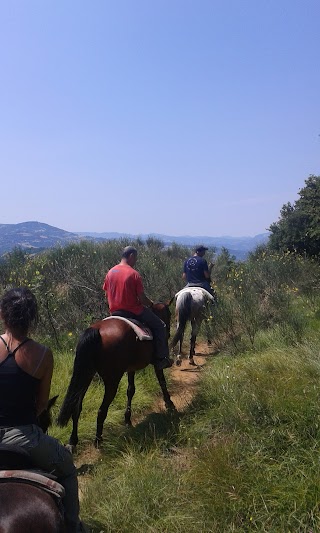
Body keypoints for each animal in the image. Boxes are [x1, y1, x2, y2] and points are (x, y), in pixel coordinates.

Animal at [57, 302, 175, 446]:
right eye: (169, 313)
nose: (168, 331)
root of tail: (96, 331)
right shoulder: (156, 363)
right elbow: (162, 381)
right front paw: (169, 403)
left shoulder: (131, 368)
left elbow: (131, 390)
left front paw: (127, 419)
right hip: (112, 380)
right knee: (102, 409)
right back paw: (98, 439)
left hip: (86, 375)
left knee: (76, 407)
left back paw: (73, 440)